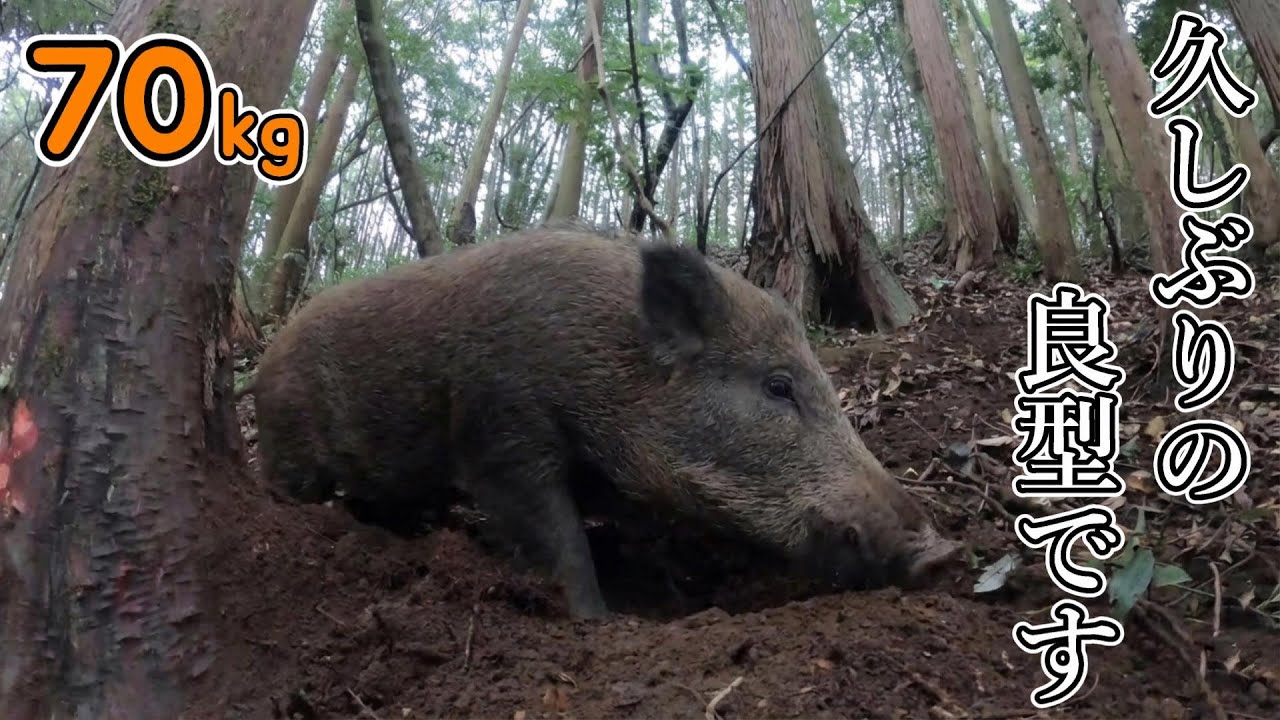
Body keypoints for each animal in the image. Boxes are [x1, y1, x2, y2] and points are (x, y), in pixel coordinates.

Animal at [252, 225, 958, 618]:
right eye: (778, 387)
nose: (943, 554)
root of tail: (263, 355)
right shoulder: (501, 434)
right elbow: (562, 540)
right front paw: (601, 622)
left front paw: (675, 603)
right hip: (289, 452)